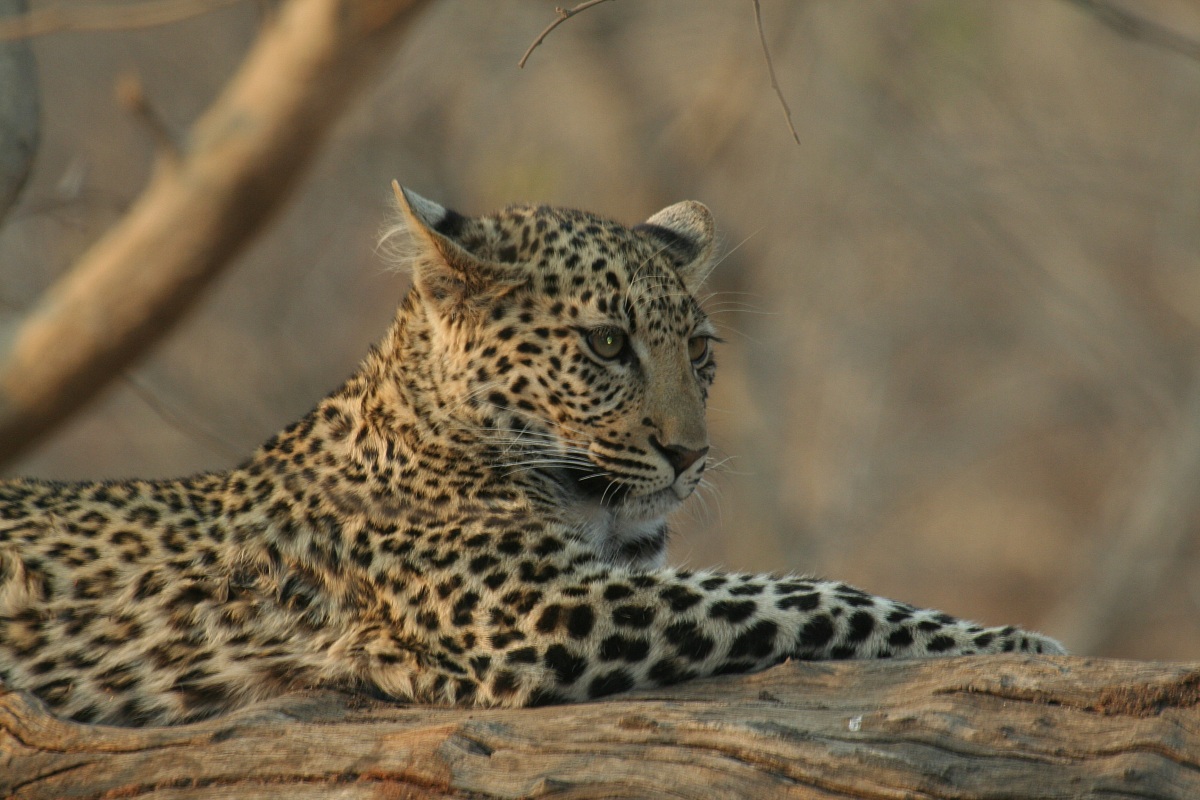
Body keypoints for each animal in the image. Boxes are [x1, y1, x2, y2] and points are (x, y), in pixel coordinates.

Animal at [0, 183, 1066, 727]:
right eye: (606, 344)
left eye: (701, 350)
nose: (691, 456)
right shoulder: (542, 607)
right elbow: (806, 594)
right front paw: (1024, 647)